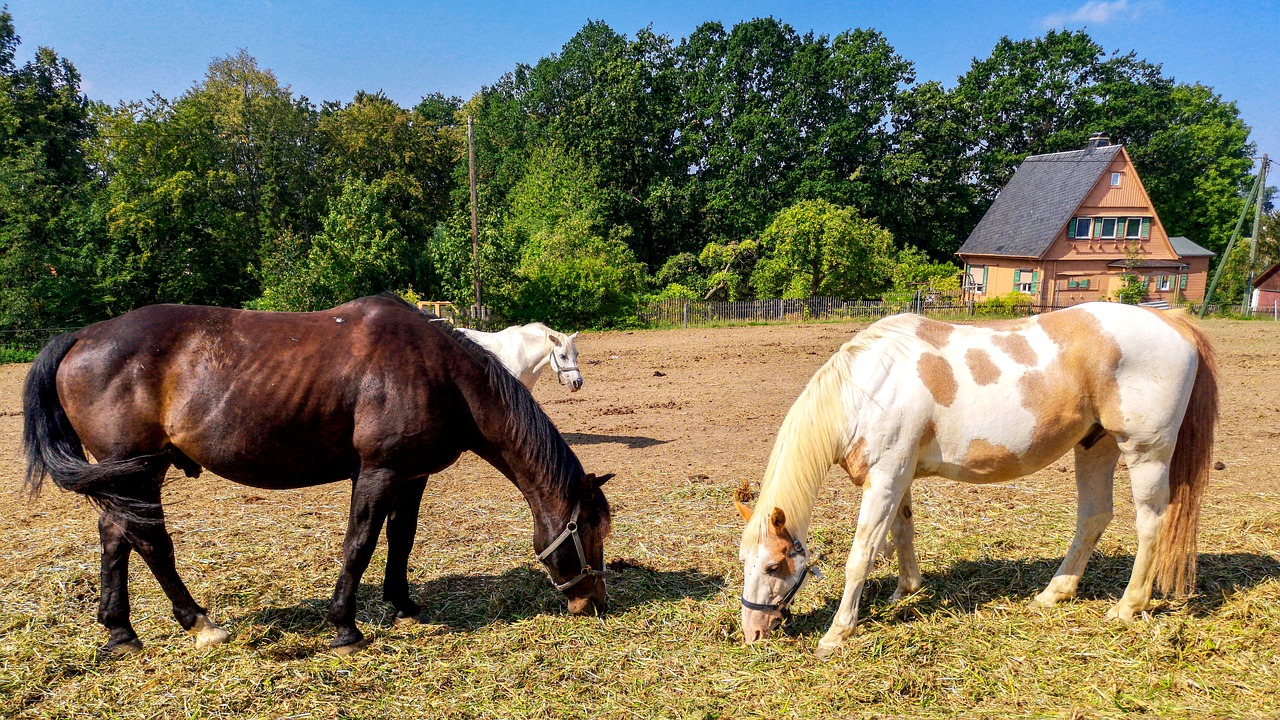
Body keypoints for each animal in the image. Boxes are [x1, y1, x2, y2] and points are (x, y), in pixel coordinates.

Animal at [737, 299, 1213, 653]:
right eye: (745, 562)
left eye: (775, 564)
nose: (753, 632)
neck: (869, 389)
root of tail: (1173, 322)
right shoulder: (899, 478)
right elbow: (902, 533)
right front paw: (905, 591)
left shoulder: (885, 479)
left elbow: (862, 555)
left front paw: (837, 633)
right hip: (1095, 446)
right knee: (1093, 517)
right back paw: (1052, 594)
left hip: (1145, 453)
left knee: (1150, 523)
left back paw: (1128, 606)